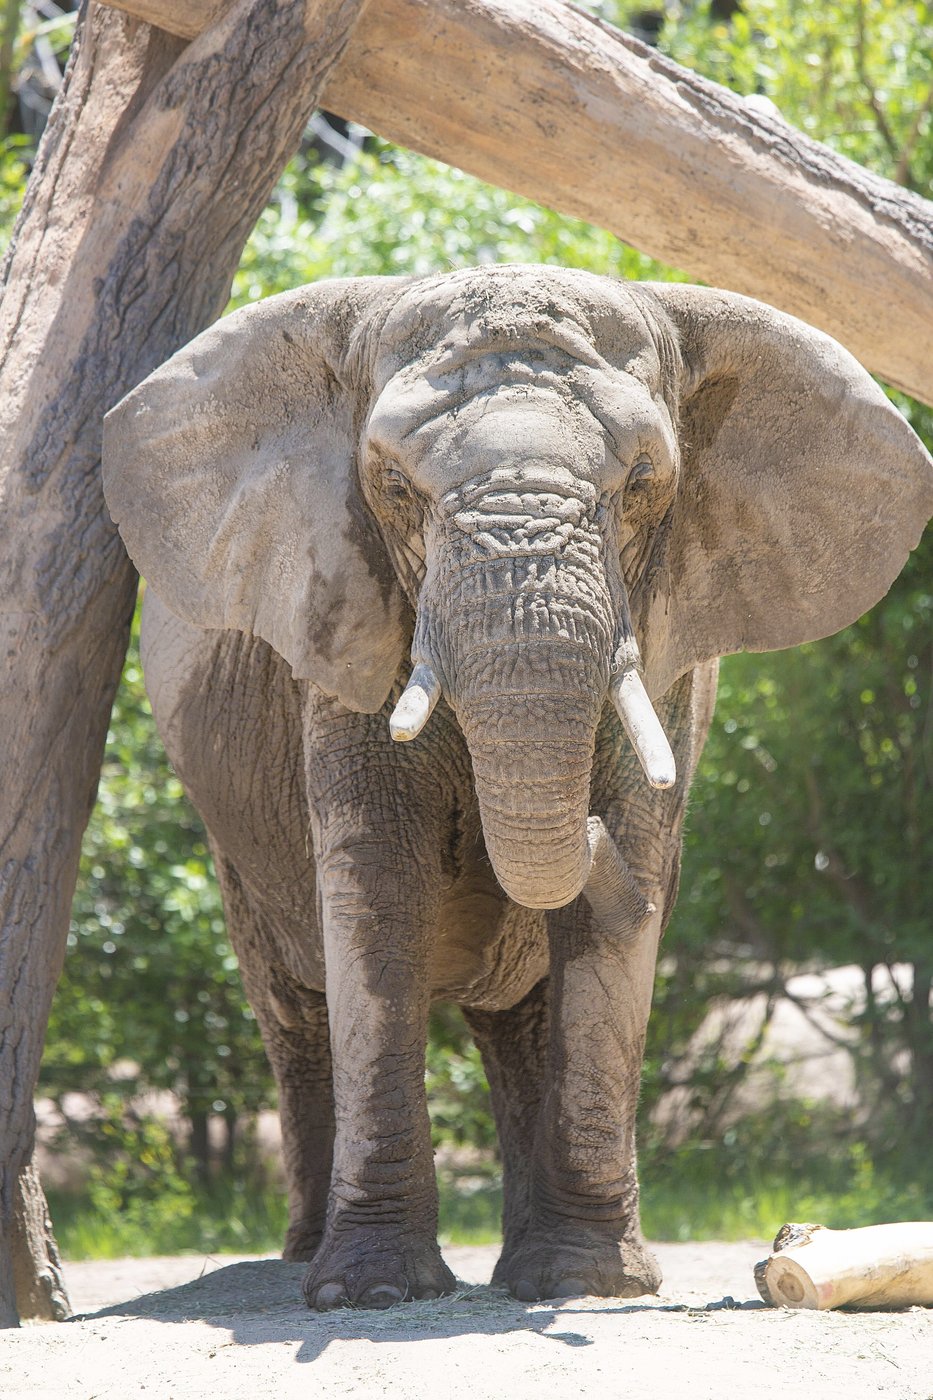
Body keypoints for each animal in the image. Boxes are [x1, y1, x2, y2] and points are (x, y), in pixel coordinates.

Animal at [101, 264, 932, 1309]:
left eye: (642, 482)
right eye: (393, 485)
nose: (583, 826)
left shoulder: (668, 644)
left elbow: (618, 890)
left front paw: (588, 1284)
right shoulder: (344, 622)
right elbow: (377, 885)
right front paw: (369, 1294)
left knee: (522, 1022)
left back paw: (527, 1264)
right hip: (233, 846)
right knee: (295, 1010)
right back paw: (302, 1255)